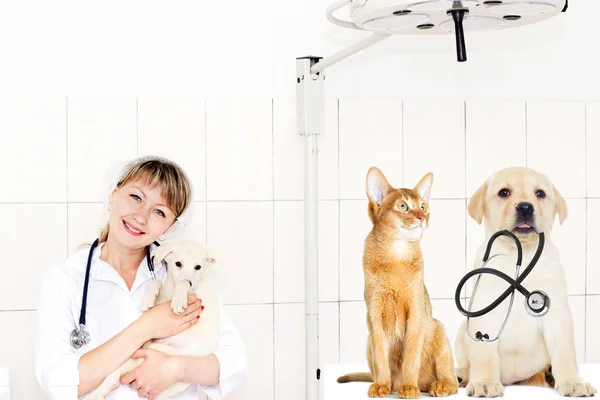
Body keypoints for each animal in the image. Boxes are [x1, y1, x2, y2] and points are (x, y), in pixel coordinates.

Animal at [86, 241, 220, 400]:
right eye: (178, 264)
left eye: (198, 267)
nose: (190, 281)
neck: (172, 290)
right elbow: (155, 282)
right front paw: (148, 299)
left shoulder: (196, 294)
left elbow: (183, 285)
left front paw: (179, 299)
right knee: (112, 377)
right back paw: (97, 394)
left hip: (165, 351)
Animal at [338, 167, 460, 398]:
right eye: (403, 206)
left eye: (423, 206)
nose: (421, 216)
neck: (396, 255)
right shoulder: (373, 315)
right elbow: (381, 358)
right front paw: (380, 385)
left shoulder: (416, 311)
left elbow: (411, 356)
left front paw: (409, 387)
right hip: (367, 343)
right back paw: (391, 385)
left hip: (437, 328)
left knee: (453, 379)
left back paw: (438, 385)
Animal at [454, 166, 596, 396]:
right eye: (504, 192)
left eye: (540, 193)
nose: (525, 207)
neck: (520, 251)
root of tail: (513, 380)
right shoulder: (483, 314)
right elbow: (484, 355)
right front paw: (485, 382)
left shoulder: (557, 314)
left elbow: (565, 352)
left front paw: (573, 382)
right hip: (460, 335)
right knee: (467, 364)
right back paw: (460, 376)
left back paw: (549, 375)